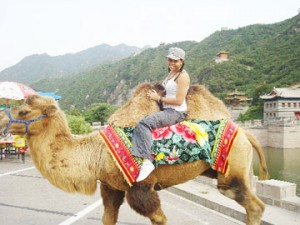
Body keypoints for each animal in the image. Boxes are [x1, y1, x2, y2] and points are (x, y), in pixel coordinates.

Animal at [0, 82, 268, 225]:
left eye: (24, 111)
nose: (1, 117)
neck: (97, 153)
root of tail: (246, 132)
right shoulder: (111, 186)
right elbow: (108, 217)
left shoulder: (141, 187)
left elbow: (159, 218)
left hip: (233, 169)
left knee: (253, 205)